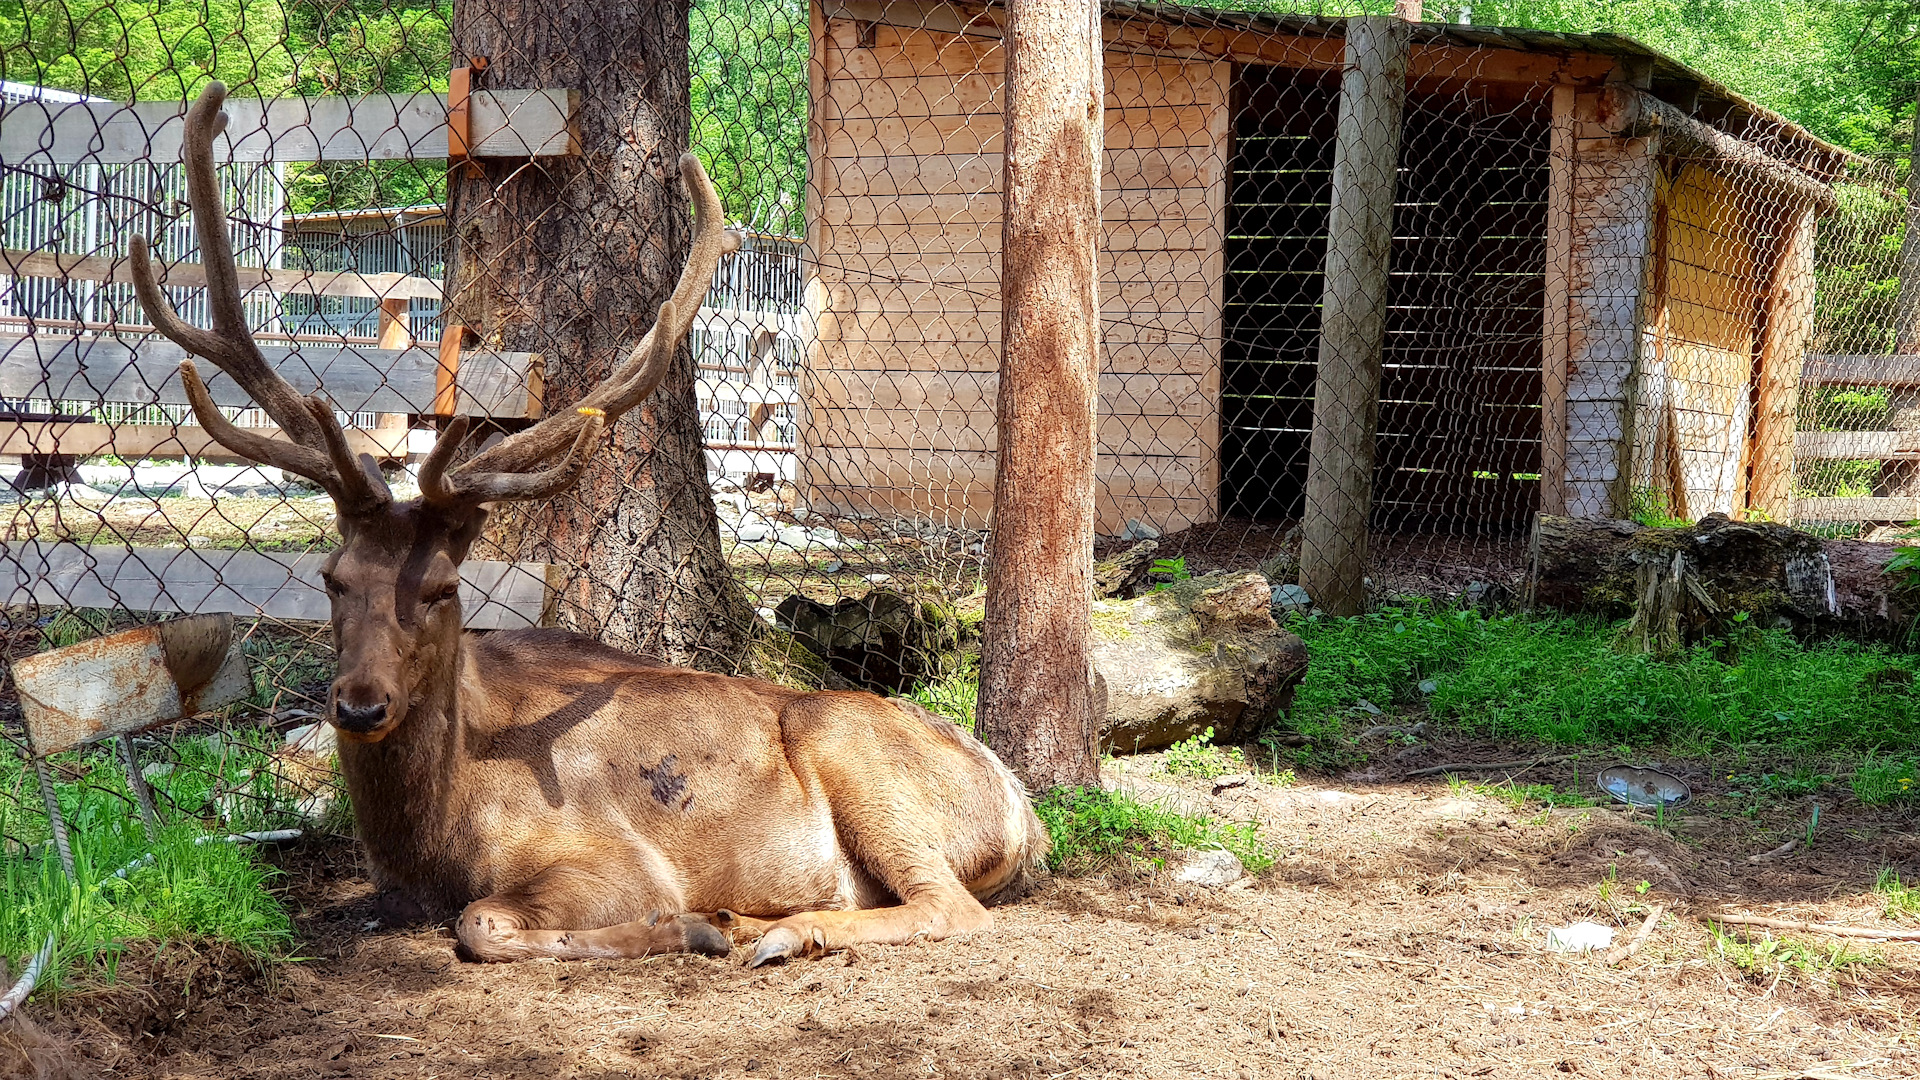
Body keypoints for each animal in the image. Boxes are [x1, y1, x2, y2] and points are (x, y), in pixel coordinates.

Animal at [131, 84, 1052, 957]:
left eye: (441, 587)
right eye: (331, 578)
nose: (358, 706)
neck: (433, 836)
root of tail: (1024, 812)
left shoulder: (611, 855)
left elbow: (481, 923)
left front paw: (685, 927)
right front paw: (704, 924)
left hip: (859, 757)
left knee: (951, 908)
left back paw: (777, 930)